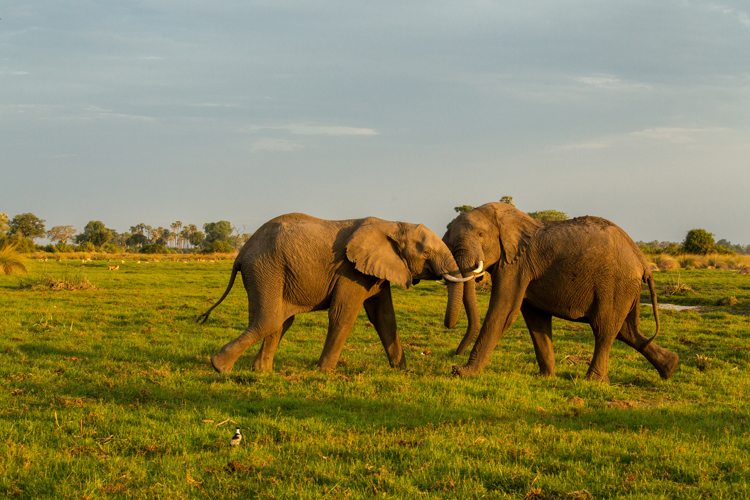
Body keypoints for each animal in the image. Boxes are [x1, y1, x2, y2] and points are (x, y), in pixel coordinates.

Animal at [198, 213, 472, 373]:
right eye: (426, 253)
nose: (449, 325)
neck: (392, 223)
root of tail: (241, 252)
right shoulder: (350, 270)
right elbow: (344, 315)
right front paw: (323, 372)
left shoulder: (375, 271)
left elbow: (384, 317)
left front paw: (401, 370)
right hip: (265, 269)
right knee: (270, 320)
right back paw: (220, 367)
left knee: (280, 322)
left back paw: (261, 372)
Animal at [442, 202, 679, 383]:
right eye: (449, 242)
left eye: (481, 234)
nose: (456, 355)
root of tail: (642, 260)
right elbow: (536, 319)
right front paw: (545, 377)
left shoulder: (517, 264)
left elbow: (503, 313)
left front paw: (463, 373)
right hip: (626, 287)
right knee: (626, 330)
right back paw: (670, 367)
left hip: (616, 283)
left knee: (604, 328)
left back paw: (593, 381)